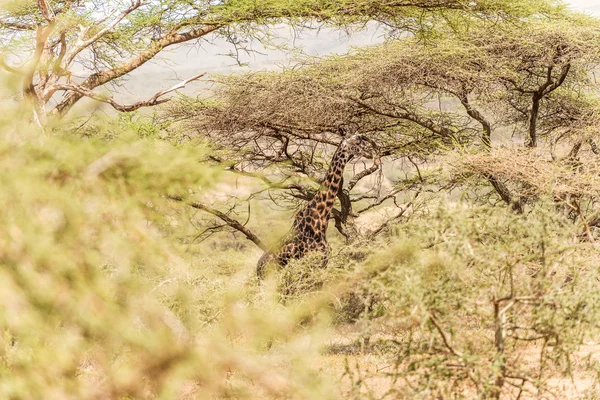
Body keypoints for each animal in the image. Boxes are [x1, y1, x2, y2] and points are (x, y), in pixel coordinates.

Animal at [256, 131, 372, 278]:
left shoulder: (323, 262)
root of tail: (257, 267)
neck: (320, 219)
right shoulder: (312, 263)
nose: (369, 153)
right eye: (357, 142)